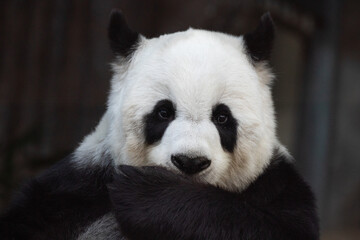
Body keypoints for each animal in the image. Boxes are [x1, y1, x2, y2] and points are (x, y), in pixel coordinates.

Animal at [1, 9, 320, 240]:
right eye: (163, 112)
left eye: (222, 117)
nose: (190, 162)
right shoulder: (75, 188)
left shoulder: (274, 182)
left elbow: (272, 227)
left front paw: (146, 194)